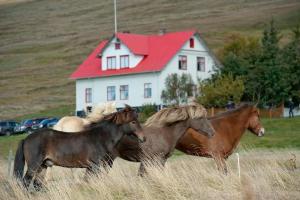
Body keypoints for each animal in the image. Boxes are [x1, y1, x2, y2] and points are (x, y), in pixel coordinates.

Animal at [13, 105, 145, 190]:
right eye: (133, 122)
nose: (143, 138)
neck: (100, 137)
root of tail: (26, 139)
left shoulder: (95, 166)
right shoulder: (95, 165)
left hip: (43, 166)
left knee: (37, 184)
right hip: (34, 166)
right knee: (26, 182)